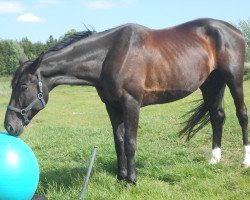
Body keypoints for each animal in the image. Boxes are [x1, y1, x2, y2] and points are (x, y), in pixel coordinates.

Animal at [2, 18, 249, 183]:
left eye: (23, 86)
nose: (9, 126)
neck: (109, 55)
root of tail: (233, 30)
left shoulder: (131, 104)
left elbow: (130, 143)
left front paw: (132, 180)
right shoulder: (112, 106)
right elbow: (118, 141)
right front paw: (120, 177)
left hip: (233, 79)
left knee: (242, 115)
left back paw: (244, 161)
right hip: (211, 84)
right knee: (217, 117)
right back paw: (214, 159)